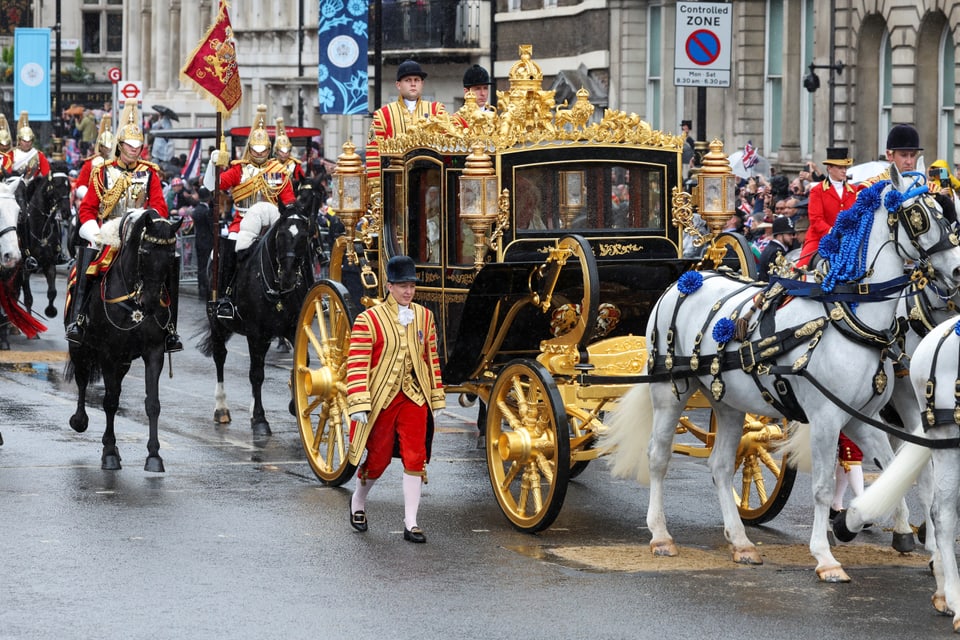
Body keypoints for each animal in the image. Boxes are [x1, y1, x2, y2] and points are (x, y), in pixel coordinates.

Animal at [17, 164, 71, 318]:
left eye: (69, 186)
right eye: (56, 185)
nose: (66, 212)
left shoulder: (50, 264)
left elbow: (52, 292)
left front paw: (51, 311)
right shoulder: (25, 269)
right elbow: (28, 298)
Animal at [65, 209, 184, 470]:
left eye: (171, 256)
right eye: (145, 252)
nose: (150, 303)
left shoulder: (153, 352)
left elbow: (153, 404)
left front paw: (154, 456)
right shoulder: (109, 353)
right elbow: (110, 401)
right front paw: (109, 452)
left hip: (124, 361)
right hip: (81, 348)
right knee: (82, 379)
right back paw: (79, 420)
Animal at [197, 202, 314, 438]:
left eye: (305, 236)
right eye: (281, 235)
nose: (288, 276)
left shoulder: (293, 328)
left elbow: (302, 363)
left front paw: (294, 404)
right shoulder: (256, 334)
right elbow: (256, 374)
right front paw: (260, 420)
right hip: (217, 323)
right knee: (220, 357)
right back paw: (221, 408)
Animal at [608, 162, 960, 584]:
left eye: (947, 213)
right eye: (920, 215)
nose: (958, 270)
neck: (848, 318)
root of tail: (688, 278)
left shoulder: (864, 417)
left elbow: (896, 474)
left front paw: (859, 524)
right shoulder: (827, 418)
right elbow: (823, 486)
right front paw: (826, 556)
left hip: (727, 401)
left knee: (720, 465)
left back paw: (741, 541)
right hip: (669, 391)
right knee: (658, 456)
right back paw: (661, 535)